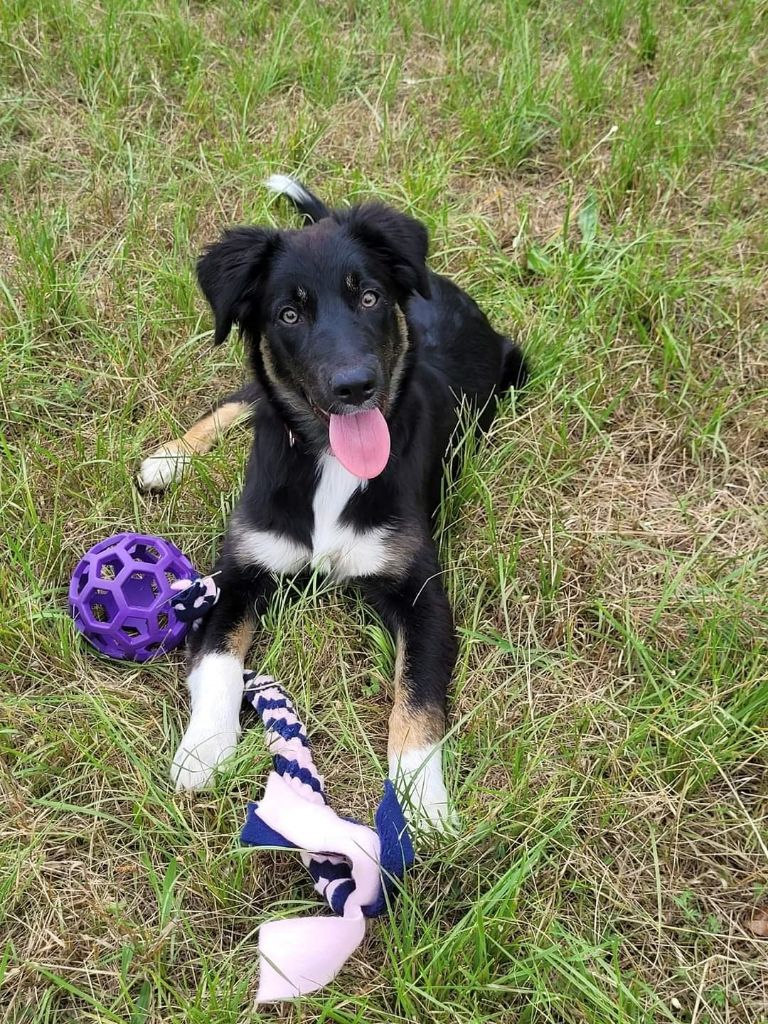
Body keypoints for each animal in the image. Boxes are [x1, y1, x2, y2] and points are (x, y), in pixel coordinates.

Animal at [138, 176, 528, 827]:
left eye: (369, 298)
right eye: (289, 313)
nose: (355, 386)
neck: (330, 463)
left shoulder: (422, 594)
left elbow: (418, 699)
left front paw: (421, 799)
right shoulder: (237, 572)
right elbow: (218, 662)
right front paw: (204, 748)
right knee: (241, 397)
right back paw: (169, 458)